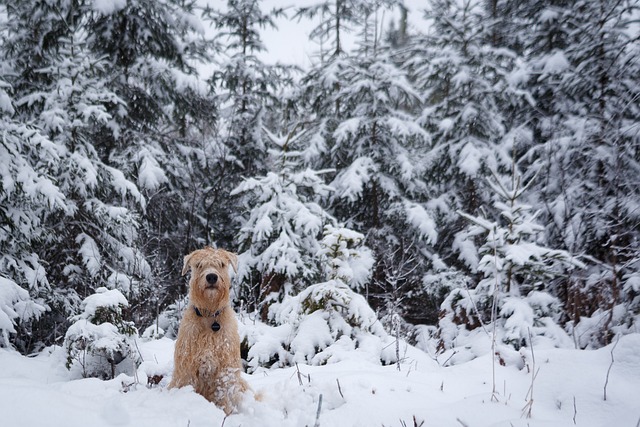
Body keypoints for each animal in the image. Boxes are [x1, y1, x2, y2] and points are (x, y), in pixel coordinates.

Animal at [168, 247, 250, 414]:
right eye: (199, 264)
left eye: (221, 264)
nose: (211, 276)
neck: (209, 315)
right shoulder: (187, 366)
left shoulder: (225, 369)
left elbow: (223, 394)